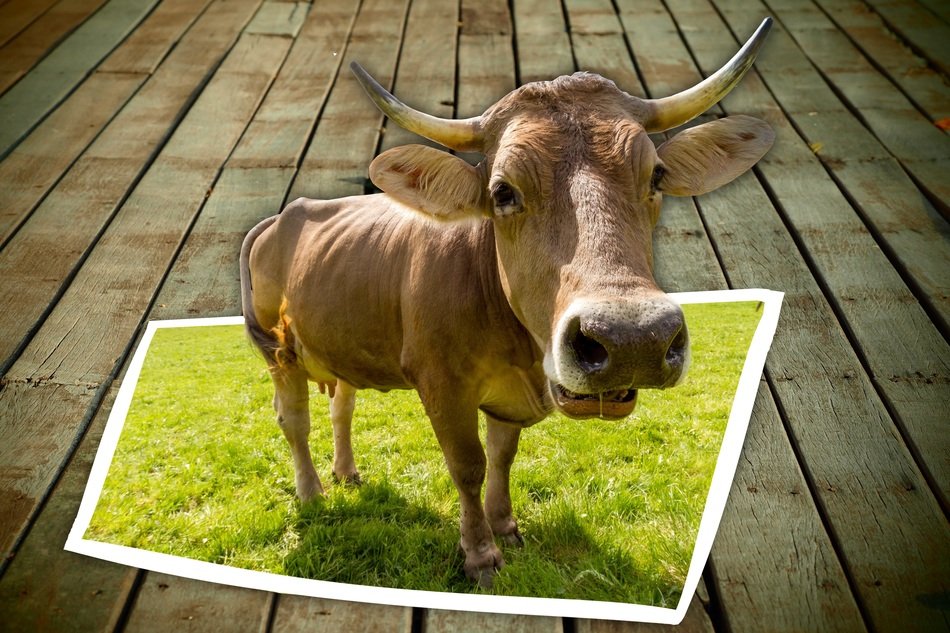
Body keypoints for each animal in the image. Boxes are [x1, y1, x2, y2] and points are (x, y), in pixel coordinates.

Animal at [240, 18, 774, 587]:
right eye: (502, 192)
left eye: (655, 176)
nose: (633, 339)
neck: (517, 347)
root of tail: (282, 215)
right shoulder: (441, 384)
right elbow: (468, 465)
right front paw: (480, 554)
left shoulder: (507, 397)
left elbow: (502, 456)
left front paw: (506, 528)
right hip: (279, 351)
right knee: (294, 420)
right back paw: (312, 493)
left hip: (339, 343)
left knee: (342, 405)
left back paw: (346, 473)